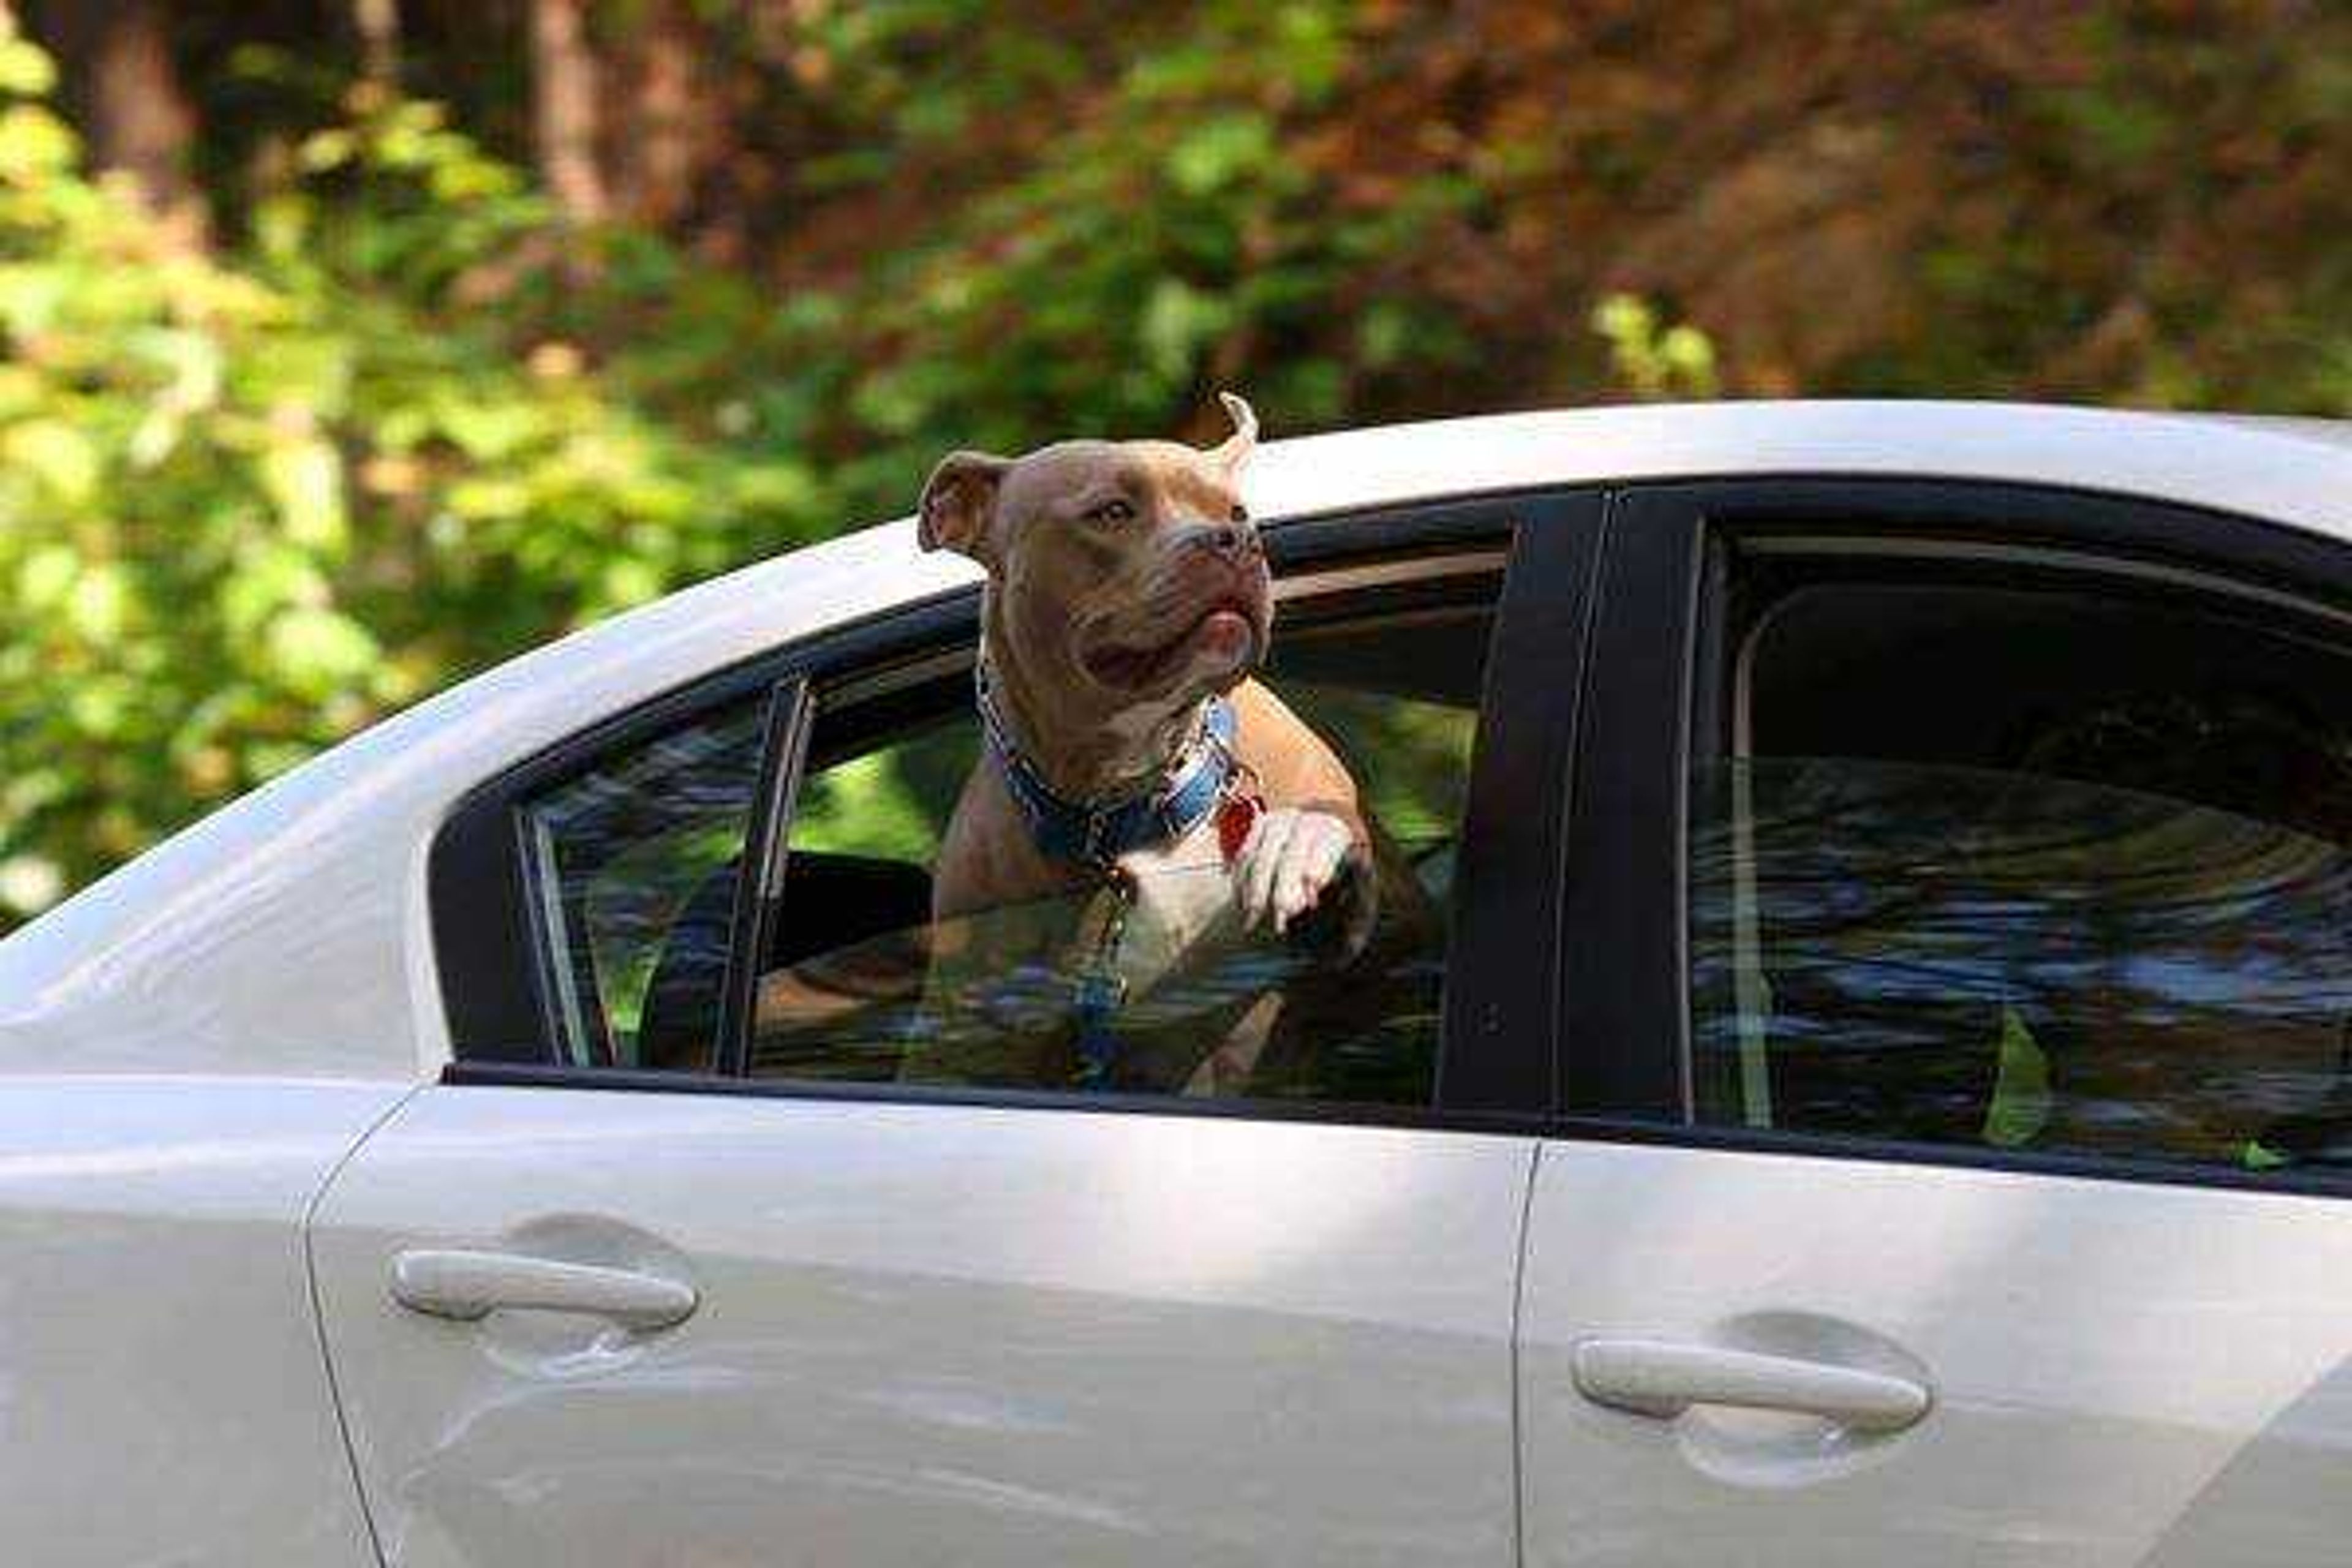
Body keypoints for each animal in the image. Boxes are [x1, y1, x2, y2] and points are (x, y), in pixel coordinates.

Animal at [903, 394, 1392, 1090]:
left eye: (1237, 512)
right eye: (1112, 512)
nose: (1236, 540)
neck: (1135, 796)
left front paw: (1291, 845)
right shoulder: (971, 1038)